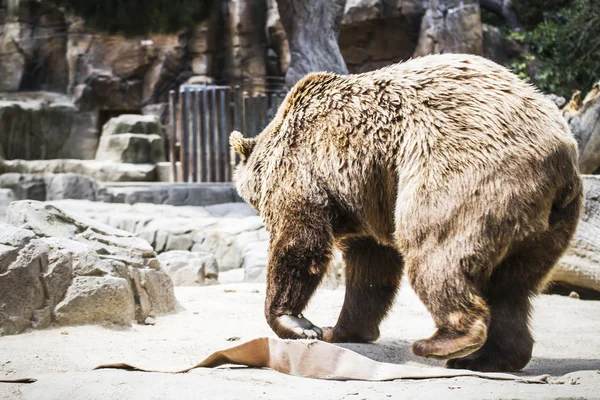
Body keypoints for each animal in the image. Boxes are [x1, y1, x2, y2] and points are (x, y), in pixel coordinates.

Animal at [229, 53, 580, 372]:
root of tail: (561, 154)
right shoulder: (368, 195)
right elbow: (371, 269)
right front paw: (338, 330)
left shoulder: (303, 169)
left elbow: (300, 238)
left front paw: (298, 322)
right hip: (547, 222)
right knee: (511, 288)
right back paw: (489, 358)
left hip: (464, 173)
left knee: (435, 252)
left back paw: (442, 342)